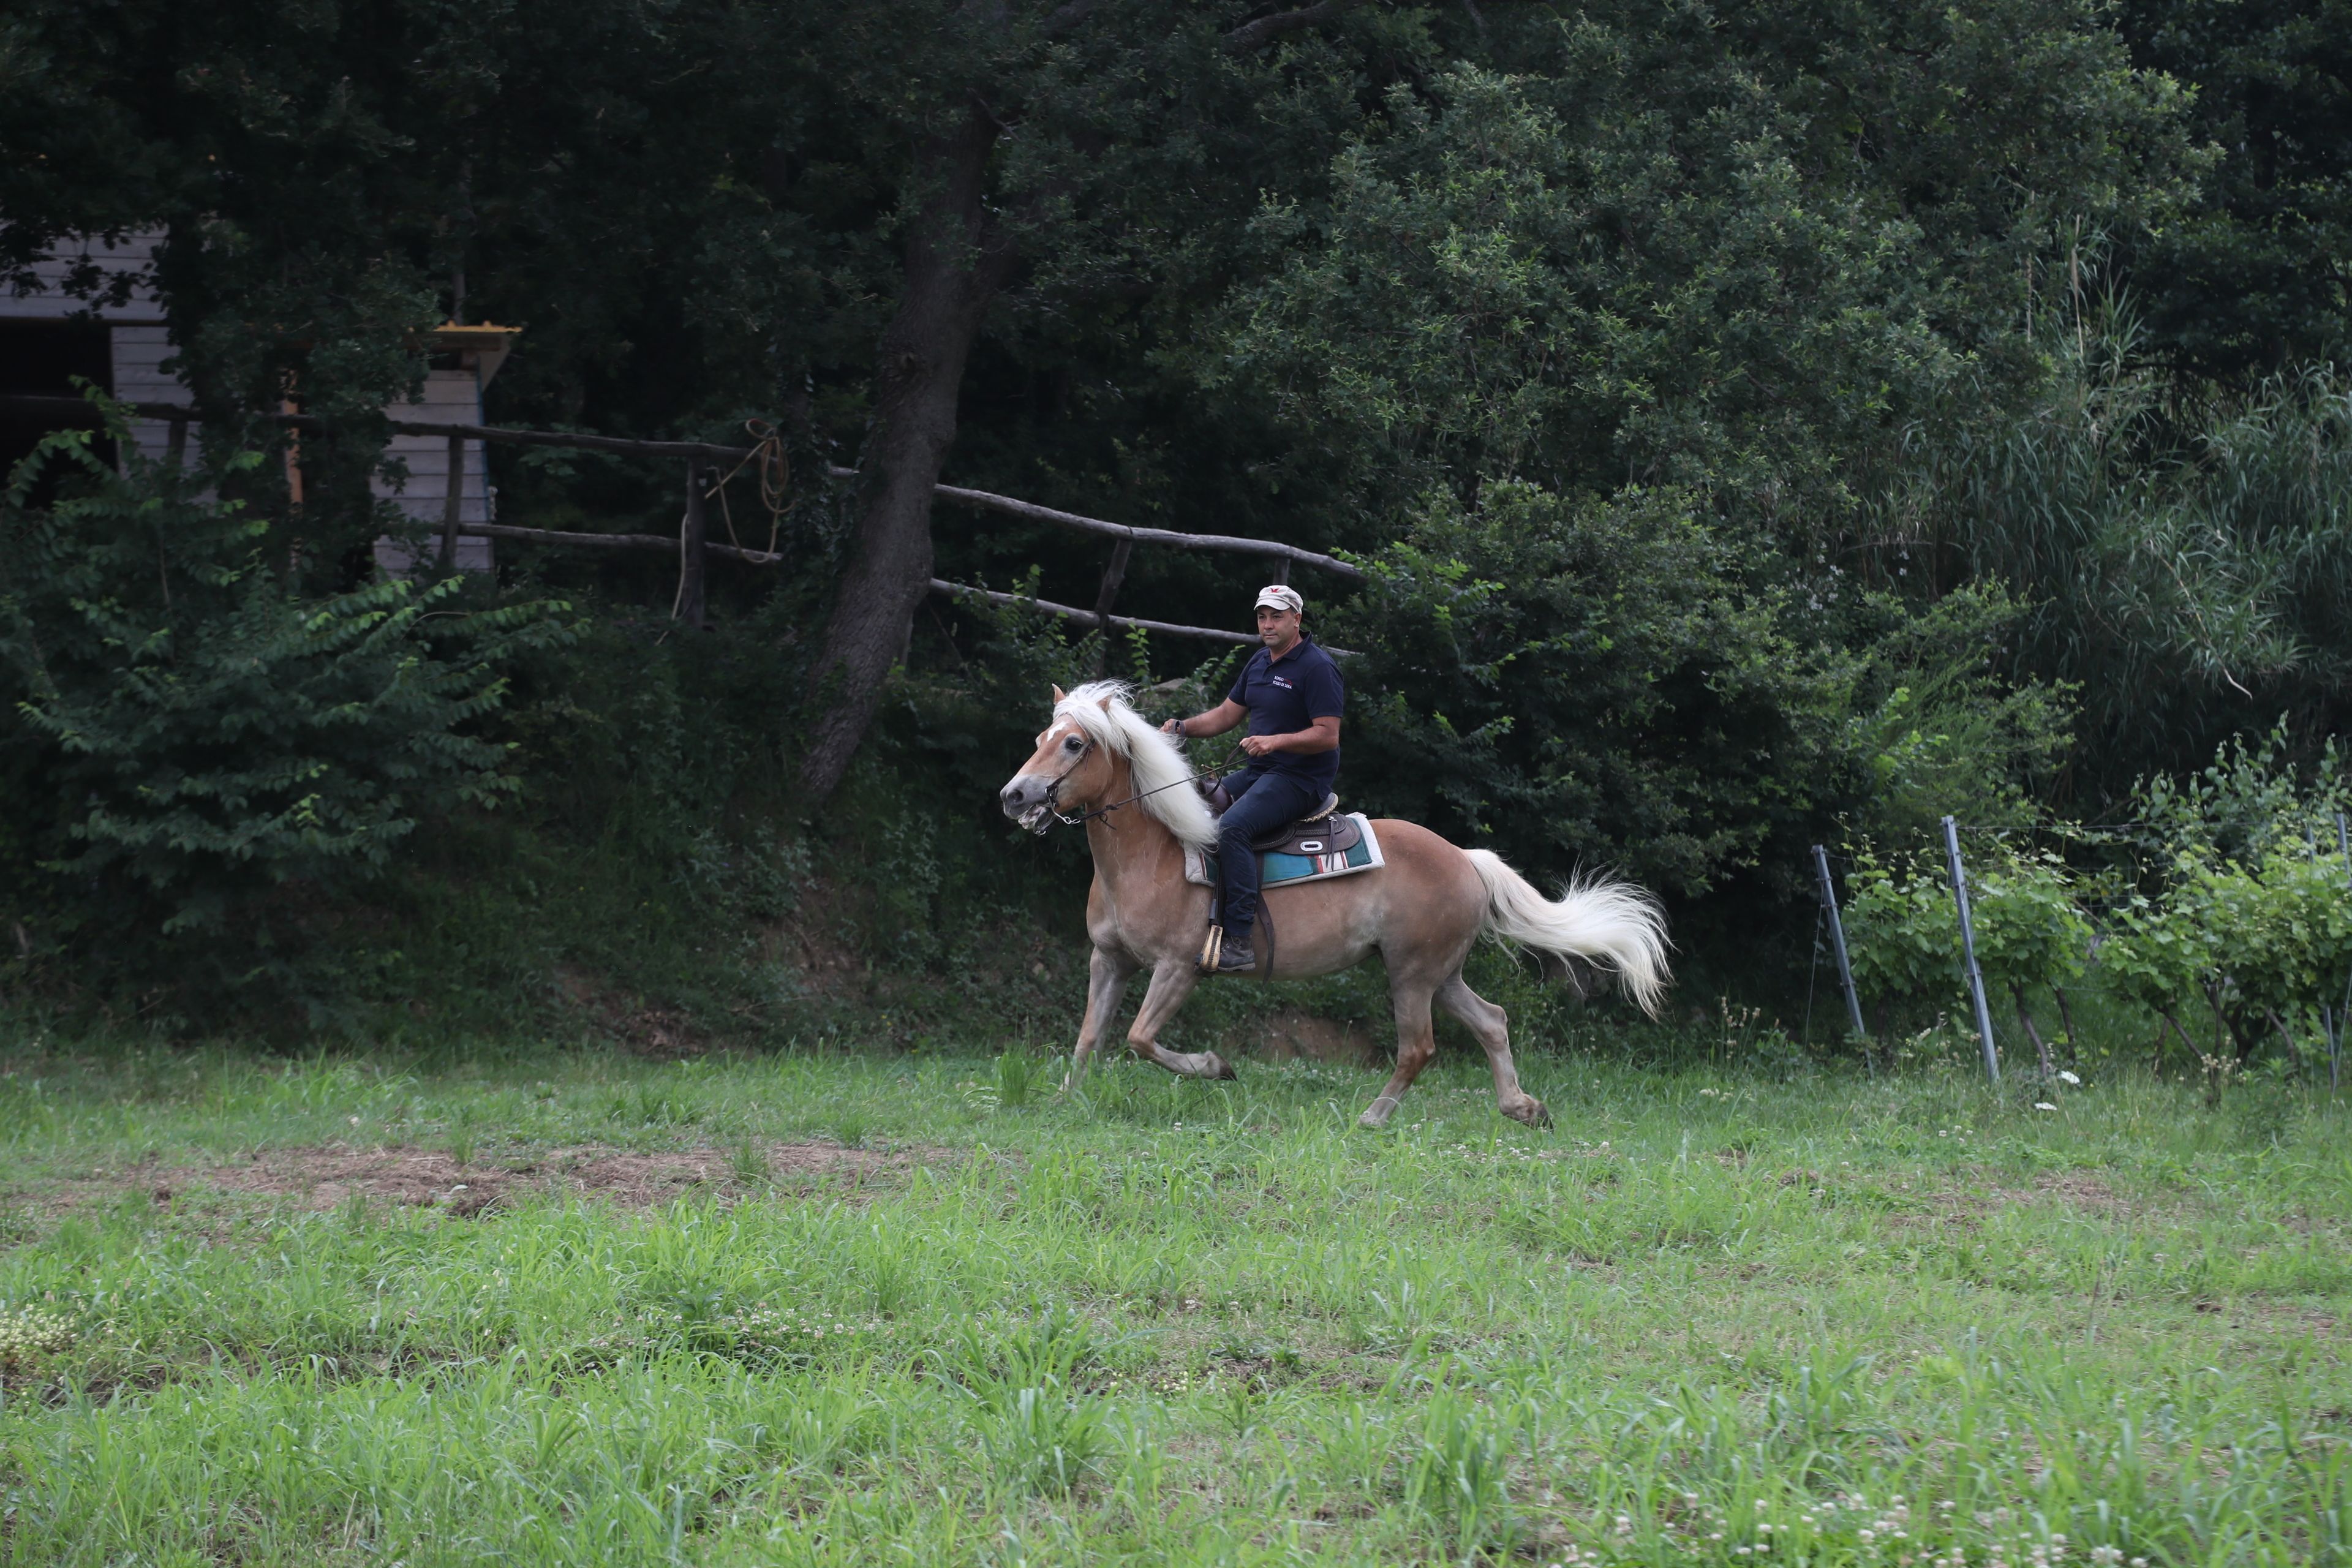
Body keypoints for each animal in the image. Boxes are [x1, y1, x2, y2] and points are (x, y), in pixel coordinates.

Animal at [998, 681, 1671, 1128]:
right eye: (1039, 738)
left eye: (1074, 744)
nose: (1015, 796)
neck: (1152, 852)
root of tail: (1465, 858)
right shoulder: (1109, 960)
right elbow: (1090, 1035)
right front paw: (1065, 1100)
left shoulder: (1177, 968)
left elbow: (1139, 1038)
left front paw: (1216, 1066)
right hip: (1441, 972)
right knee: (1493, 1021)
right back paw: (1521, 1107)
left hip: (1411, 973)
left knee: (1418, 1047)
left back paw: (1372, 1117)